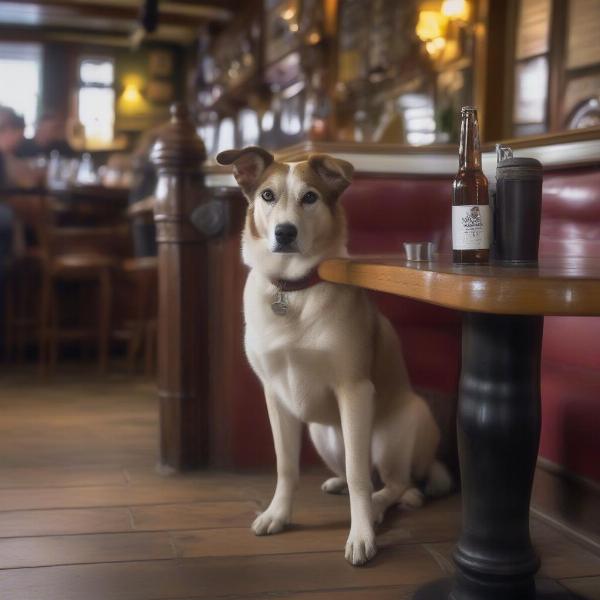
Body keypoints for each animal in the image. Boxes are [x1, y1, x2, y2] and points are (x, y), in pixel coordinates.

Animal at [216, 148, 450, 564]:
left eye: (310, 197)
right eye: (267, 196)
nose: (285, 232)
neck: (293, 290)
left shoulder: (354, 390)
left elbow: (360, 479)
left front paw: (361, 535)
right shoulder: (275, 396)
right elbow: (286, 466)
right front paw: (278, 514)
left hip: (395, 432)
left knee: (395, 483)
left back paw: (378, 506)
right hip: (322, 434)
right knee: (362, 472)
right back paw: (338, 484)